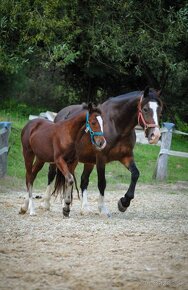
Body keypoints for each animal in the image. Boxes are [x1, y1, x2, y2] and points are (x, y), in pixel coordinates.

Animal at [43, 87, 162, 216]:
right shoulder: (101, 158)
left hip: (84, 160)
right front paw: (103, 208)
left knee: (81, 180)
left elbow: (135, 174)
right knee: (51, 175)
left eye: (160, 110)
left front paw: (124, 203)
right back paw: (46, 204)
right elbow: (102, 182)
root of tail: (60, 114)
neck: (115, 124)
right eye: (145, 109)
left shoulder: (126, 157)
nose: (155, 135)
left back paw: (83, 207)